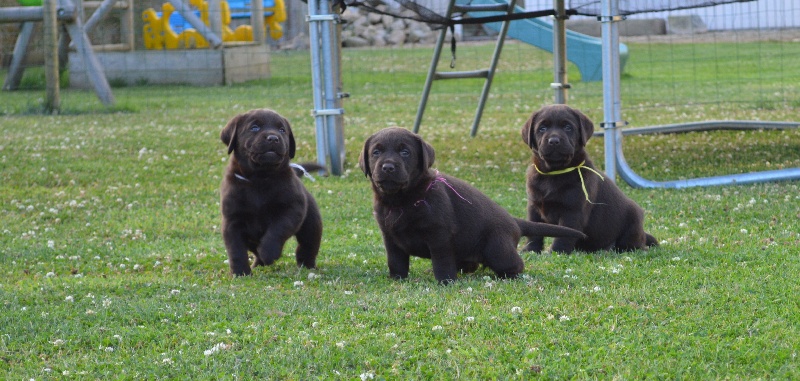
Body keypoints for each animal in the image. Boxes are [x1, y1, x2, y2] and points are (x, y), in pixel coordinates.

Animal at [219, 108, 322, 274]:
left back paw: (307, 265)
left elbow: (276, 231)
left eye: (282, 130)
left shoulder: (291, 209)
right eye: (254, 127)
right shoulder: (232, 221)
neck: (259, 179)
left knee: (307, 246)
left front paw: (269, 253)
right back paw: (257, 264)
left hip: (311, 225)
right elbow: (236, 250)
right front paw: (240, 272)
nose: (273, 138)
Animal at [360, 127, 584, 282]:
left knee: (515, 265)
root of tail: (513, 221)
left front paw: (446, 282)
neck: (402, 199)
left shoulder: (439, 235)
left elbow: (441, 261)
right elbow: (395, 261)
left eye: (405, 152)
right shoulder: (390, 237)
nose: (388, 167)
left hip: (498, 250)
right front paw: (397, 279)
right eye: (376, 152)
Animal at [520, 103, 656, 252]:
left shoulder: (572, 210)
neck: (553, 173)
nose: (554, 141)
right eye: (542, 128)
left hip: (633, 219)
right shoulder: (534, 207)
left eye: (568, 127)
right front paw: (530, 249)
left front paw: (557, 251)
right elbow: (534, 231)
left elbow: (564, 233)